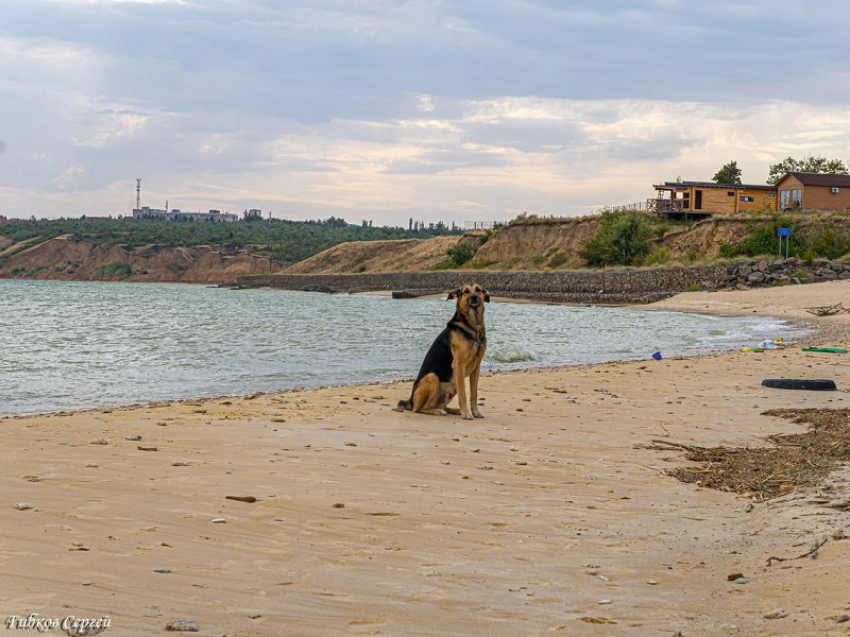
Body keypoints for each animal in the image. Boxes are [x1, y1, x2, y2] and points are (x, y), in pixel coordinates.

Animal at [394, 284, 486, 418]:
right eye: (466, 291)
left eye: (478, 290)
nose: (474, 297)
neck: (473, 327)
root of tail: (410, 401)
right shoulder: (459, 366)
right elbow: (463, 394)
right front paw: (466, 413)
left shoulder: (476, 368)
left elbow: (474, 394)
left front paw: (475, 412)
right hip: (432, 377)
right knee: (420, 408)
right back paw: (437, 411)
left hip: (453, 385)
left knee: (441, 405)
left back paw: (453, 410)